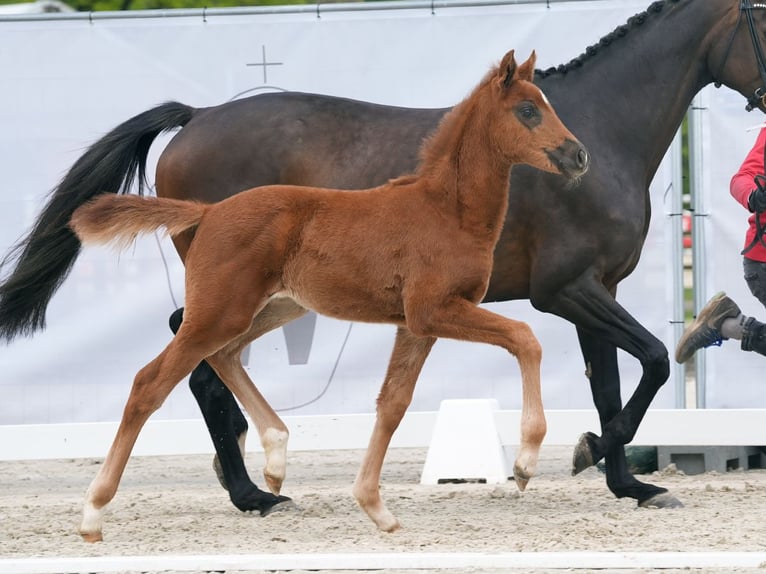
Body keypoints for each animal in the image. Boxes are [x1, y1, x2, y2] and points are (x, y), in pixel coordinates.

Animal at [1, 0, 766, 516]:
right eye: (761, 17)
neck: (601, 134)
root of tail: (197, 119)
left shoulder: (595, 290)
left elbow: (614, 383)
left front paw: (626, 480)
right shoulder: (568, 291)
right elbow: (655, 361)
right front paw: (589, 456)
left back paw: (249, 479)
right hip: (234, 289)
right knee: (194, 360)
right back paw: (252, 492)